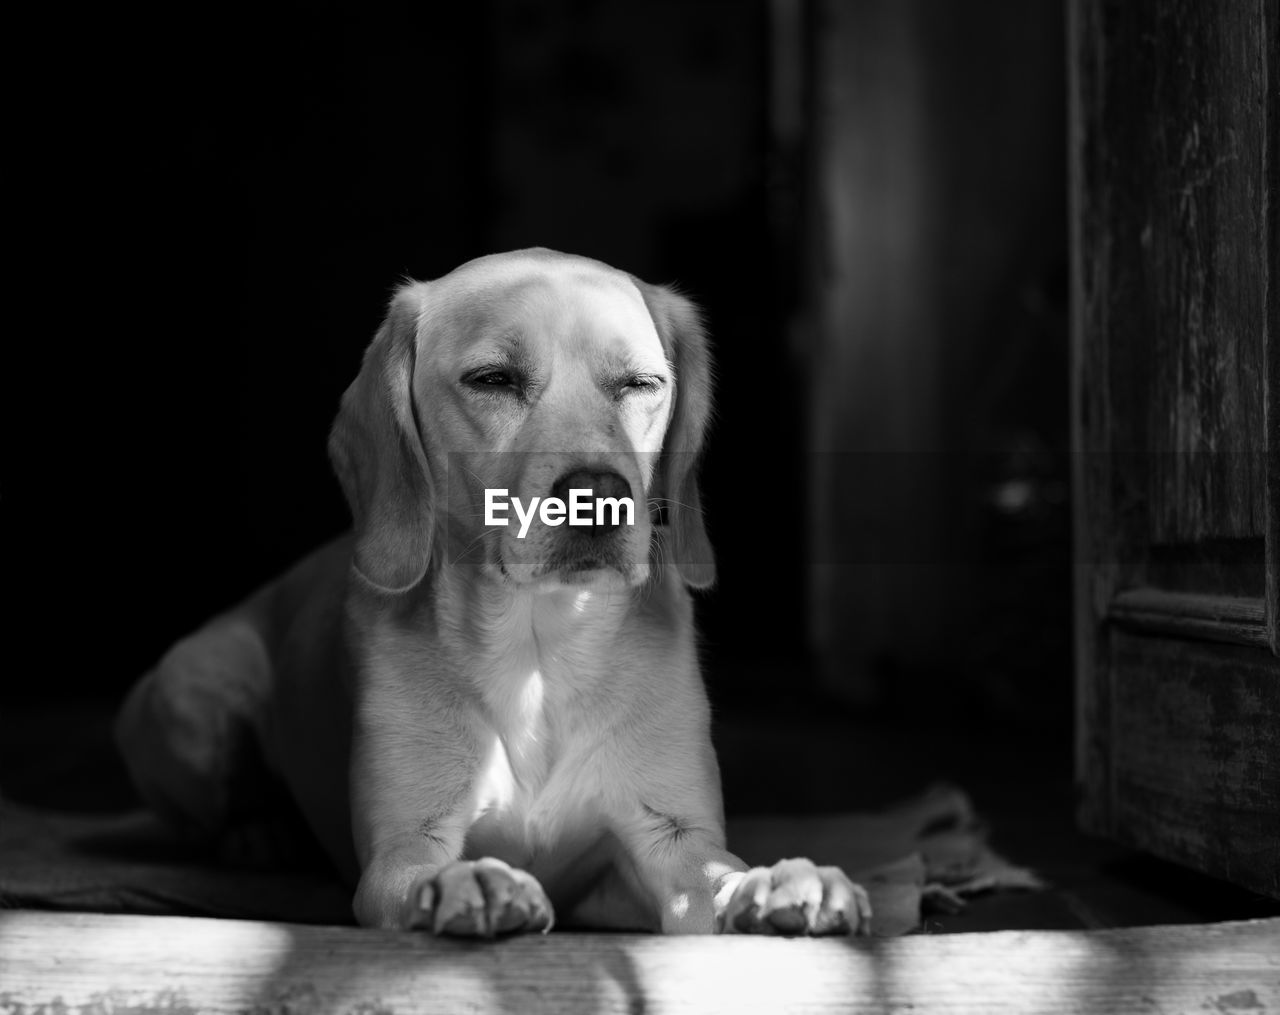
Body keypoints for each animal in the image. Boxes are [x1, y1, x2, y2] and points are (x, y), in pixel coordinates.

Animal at [115, 249, 875, 936]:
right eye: (492, 379)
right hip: (197, 694)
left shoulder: (669, 843)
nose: (597, 495)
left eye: (640, 383)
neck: (541, 644)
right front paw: (472, 883)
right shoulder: (402, 849)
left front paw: (779, 882)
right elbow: (424, 871)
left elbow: (719, 875)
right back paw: (258, 831)